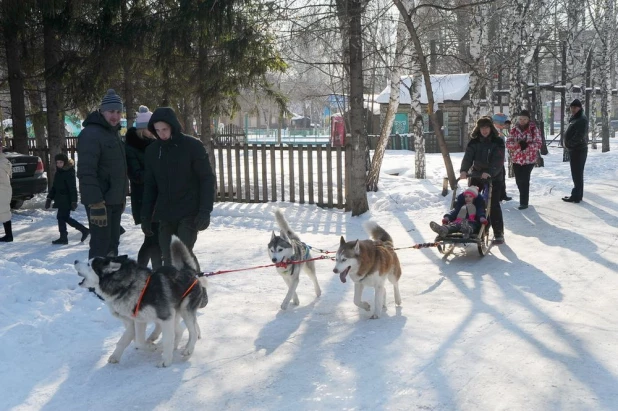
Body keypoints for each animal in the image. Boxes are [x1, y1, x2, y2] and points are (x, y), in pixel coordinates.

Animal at [75, 237, 208, 368]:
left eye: (89, 264)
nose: (75, 261)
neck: (129, 286)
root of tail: (189, 271)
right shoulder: (139, 320)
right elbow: (137, 341)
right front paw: (150, 347)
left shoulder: (165, 318)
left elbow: (166, 340)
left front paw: (166, 360)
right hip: (175, 314)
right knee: (180, 330)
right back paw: (172, 346)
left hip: (184, 310)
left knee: (192, 331)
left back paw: (189, 348)